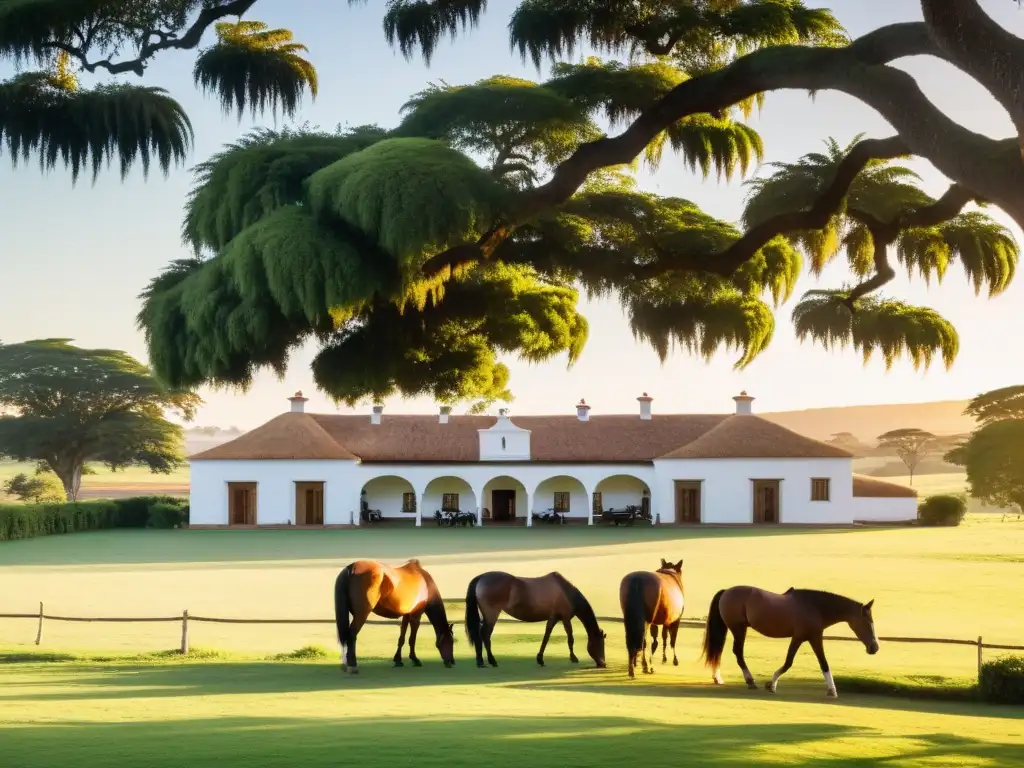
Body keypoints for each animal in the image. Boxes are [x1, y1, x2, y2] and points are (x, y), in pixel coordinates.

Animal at [466, 569, 606, 671]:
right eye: (600, 643)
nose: (603, 663)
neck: (566, 591)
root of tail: (481, 578)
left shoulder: (553, 618)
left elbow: (546, 637)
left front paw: (540, 659)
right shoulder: (565, 618)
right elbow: (570, 638)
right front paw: (573, 658)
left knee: (479, 634)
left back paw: (480, 662)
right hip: (491, 615)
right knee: (485, 634)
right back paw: (492, 661)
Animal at [704, 585, 880, 700]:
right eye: (867, 622)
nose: (875, 647)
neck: (816, 607)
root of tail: (726, 591)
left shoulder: (812, 638)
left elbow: (823, 663)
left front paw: (832, 690)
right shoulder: (803, 637)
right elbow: (790, 662)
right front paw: (771, 684)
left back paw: (718, 677)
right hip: (738, 629)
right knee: (738, 652)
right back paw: (750, 681)